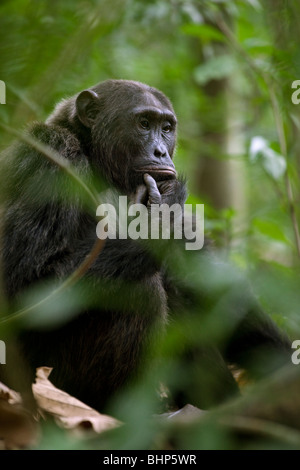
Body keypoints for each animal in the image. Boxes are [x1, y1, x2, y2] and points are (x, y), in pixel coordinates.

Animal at [0, 80, 290, 412]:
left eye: (166, 127)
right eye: (143, 123)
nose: (160, 150)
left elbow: (215, 291)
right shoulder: (48, 159)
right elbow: (27, 281)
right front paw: (159, 221)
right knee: (139, 290)